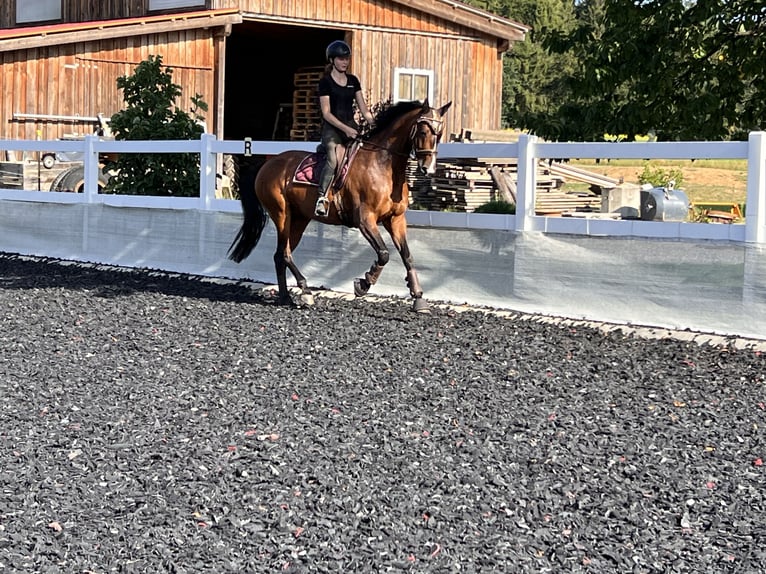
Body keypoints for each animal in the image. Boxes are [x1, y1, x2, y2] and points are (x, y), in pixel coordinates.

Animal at [231, 99, 452, 316]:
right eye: (423, 132)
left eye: (439, 133)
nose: (429, 168)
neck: (383, 164)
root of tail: (267, 164)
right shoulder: (365, 220)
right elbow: (384, 254)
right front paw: (363, 284)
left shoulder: (395, 219)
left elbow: (407, 256)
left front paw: (419, 299)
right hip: (282, 215)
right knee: (285, 254)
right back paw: (306, 291)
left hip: (300, 219)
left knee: (280, 256)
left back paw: (286, 297)